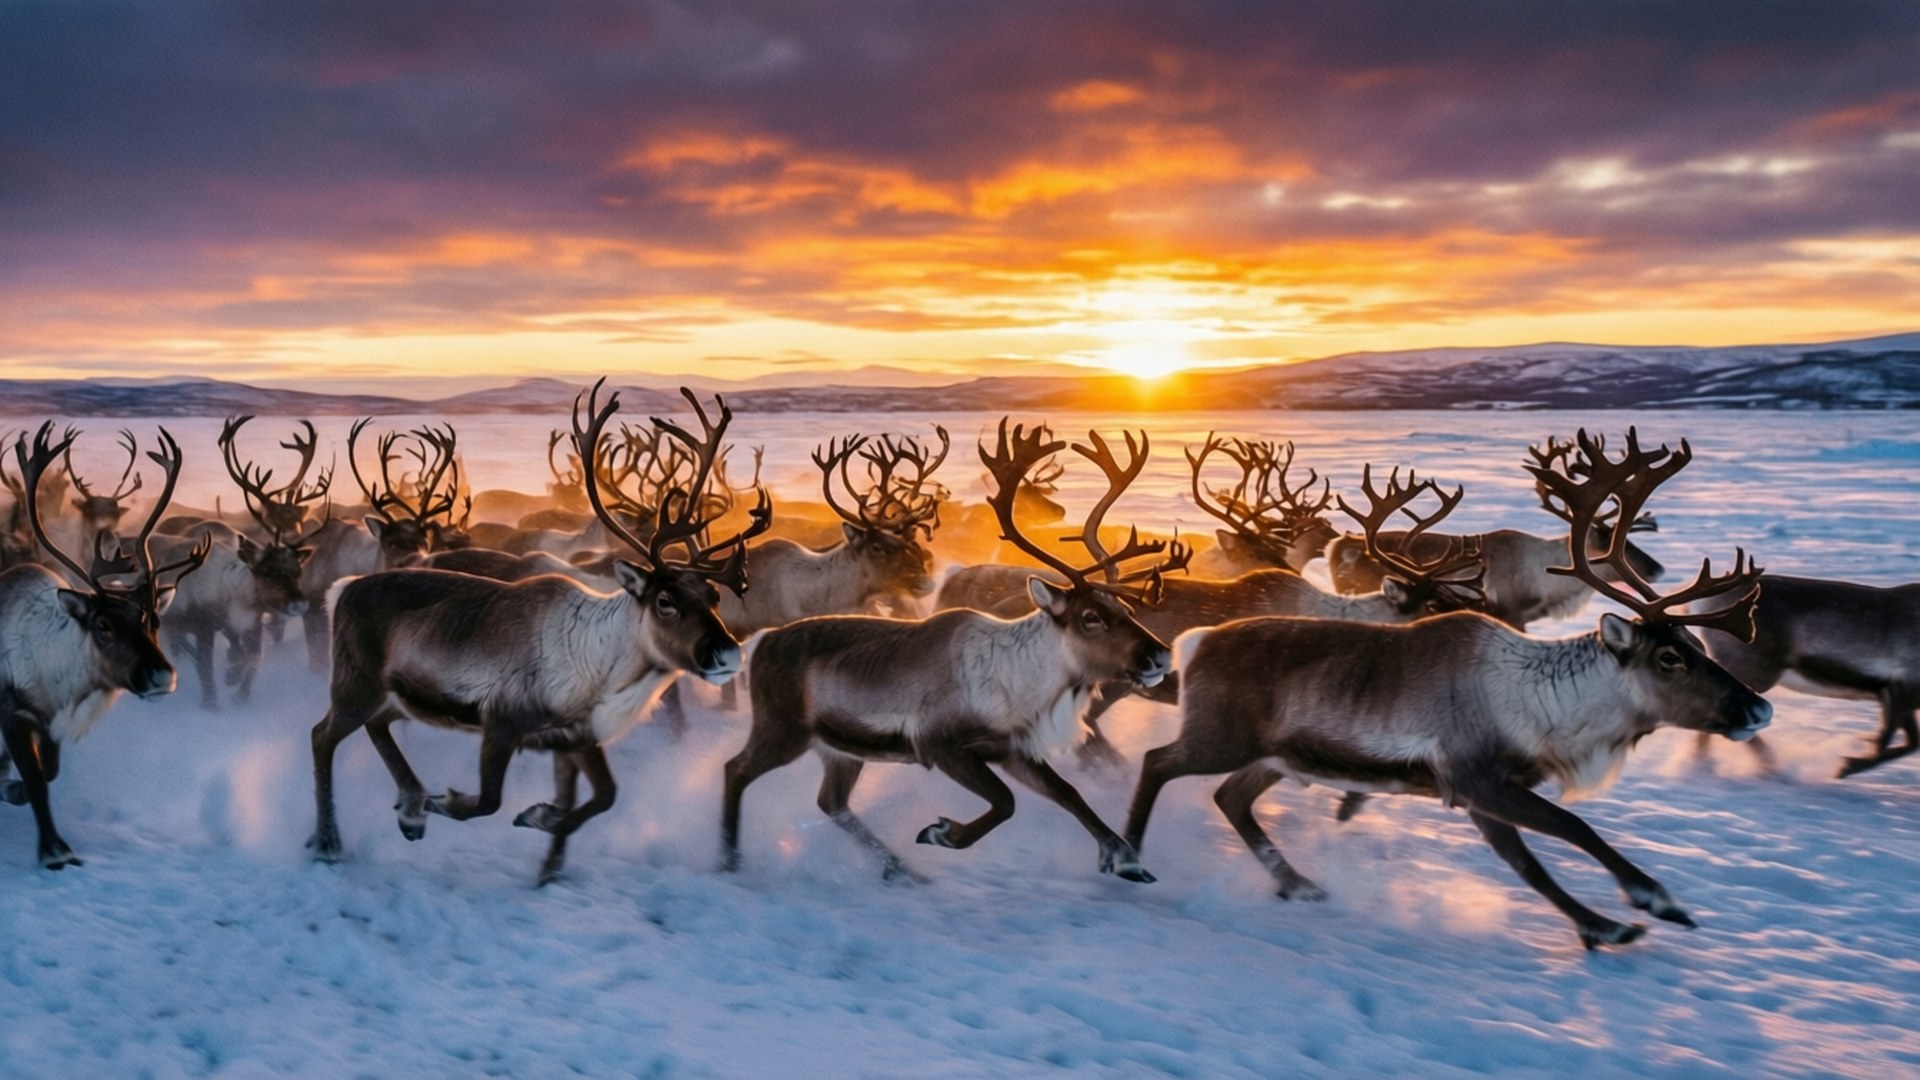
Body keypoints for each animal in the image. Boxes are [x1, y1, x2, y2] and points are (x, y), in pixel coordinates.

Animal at [0, 424, 208, 868]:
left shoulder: (52, 724)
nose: (163, 676)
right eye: (103, 625)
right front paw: (53, 850)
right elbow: (36, 779)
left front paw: (13, 790)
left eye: (154, 620)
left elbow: (47, 773)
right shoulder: (14, 712)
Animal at [307, 381, 770, 885]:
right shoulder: (501, 722)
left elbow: (602, 798)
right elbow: (489, 802)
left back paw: (410, 810)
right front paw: (455, 803)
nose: (728, 653)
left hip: (397, 696)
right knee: (322, 736)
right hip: (356, 685)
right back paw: (331, 841)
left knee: (377, 725)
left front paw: (547, 847)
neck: (601, 668)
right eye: (665, 601)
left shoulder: (574, 740)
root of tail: (344, 588)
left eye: (714, 595)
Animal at [720, 419, 1185, 886]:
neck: (1023, 681)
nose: (1161, 655)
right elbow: (1006, 803)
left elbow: (1069, 794)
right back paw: (729, 860)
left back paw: (901, 869)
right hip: (784, 729)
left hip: (840, 748)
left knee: (831, 802)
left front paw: (1125, 858)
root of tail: (762, 643)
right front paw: (942, 832)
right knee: (735, 770)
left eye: (1127, 609)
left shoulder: (1014, 750)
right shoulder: (942, 745)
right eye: (1091, 617)